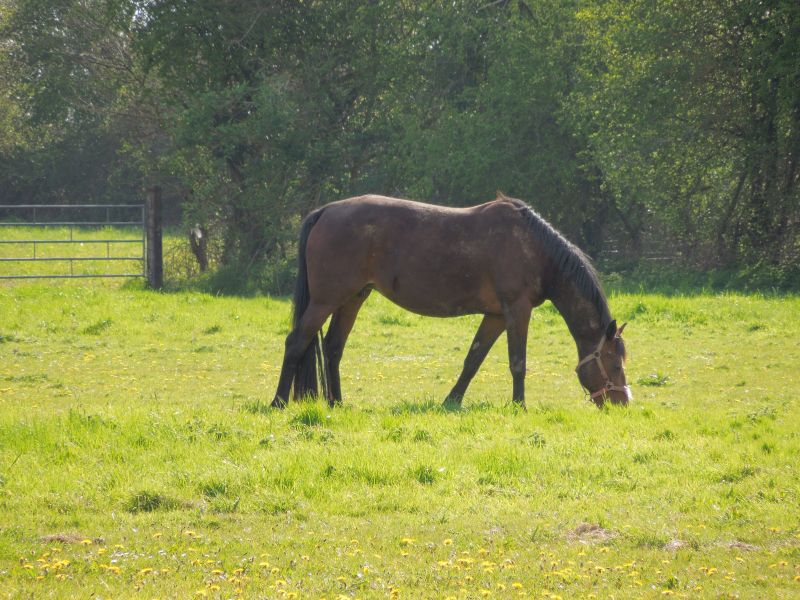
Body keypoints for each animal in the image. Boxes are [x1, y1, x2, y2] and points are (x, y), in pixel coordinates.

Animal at [270, 195, 632, 410]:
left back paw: (337, 403)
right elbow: (518, 362)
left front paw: (452, 401)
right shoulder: (517, 309)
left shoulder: (495, 315)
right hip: (325, 300)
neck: (534, 248)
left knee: (332, 348)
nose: (622, 402)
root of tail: (326, 211)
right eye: (615, 365)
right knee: (296, 342)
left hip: (352, 298)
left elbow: (473, 360)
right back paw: (278, 401)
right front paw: (519, 405)